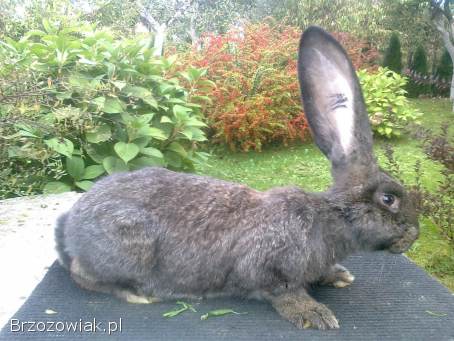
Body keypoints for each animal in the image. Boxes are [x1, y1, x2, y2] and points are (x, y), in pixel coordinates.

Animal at [55, 26, 420, 330]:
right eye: (389, 199)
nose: (413, 235)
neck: (330, 219)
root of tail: (69, 225)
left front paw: (340, 276)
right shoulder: (266, 268)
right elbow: (282, 292)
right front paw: (314, 313)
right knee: (80, 273)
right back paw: (138, 294)